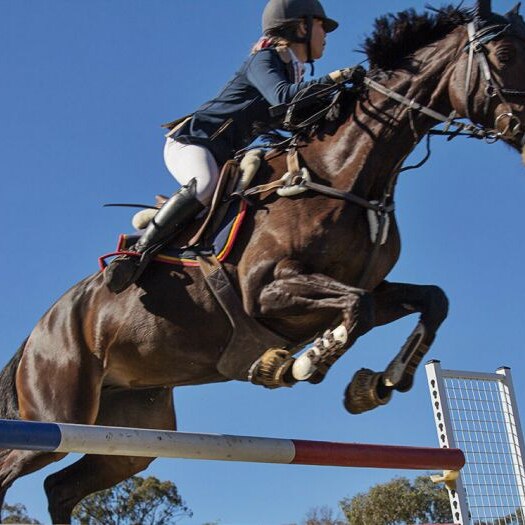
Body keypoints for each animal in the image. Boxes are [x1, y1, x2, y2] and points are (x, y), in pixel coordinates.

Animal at [1, 2, 524, 520]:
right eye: (503, 54)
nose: (523, 133)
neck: (344, 173)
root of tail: (39, 332)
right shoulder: (266, 291)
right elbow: (356, 310)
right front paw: (298, 364)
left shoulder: (370, 286)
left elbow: (429, 301)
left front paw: (380, 382)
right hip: (58, 412)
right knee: (15, 466)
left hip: (130, 432)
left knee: (61, 487)